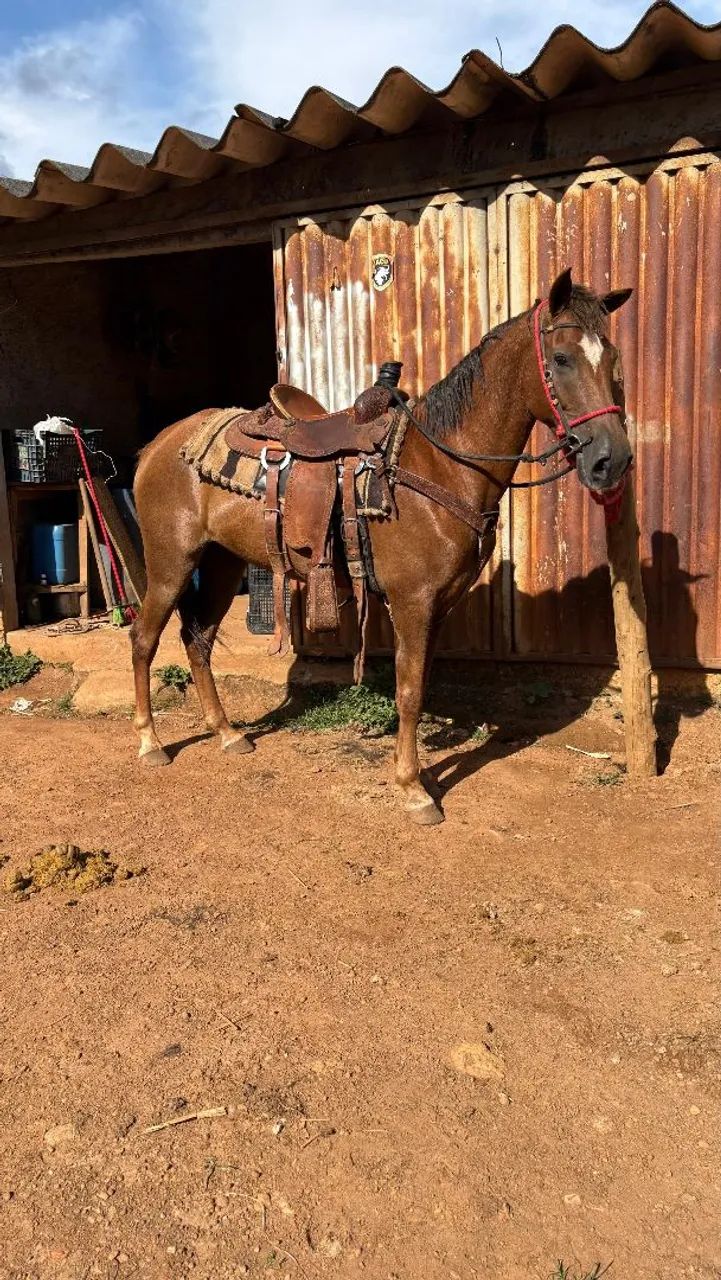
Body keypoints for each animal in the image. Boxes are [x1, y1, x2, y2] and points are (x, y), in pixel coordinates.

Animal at [131, 268, 632, 825]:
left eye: (612, 357)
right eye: (562, 358)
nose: (612, 459)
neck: (439, 465)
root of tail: (158, 445)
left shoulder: (439, 606)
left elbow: (420, 684)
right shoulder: (412, 603)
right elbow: (408, 692)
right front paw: (413, 789)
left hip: (221, 565)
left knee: (197, 640)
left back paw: (226, 733)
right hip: (171, 564)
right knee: (144, 640)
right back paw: (151, 743)